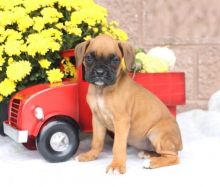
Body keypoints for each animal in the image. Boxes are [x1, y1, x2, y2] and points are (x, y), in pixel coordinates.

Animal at [74, 34, 182, 174]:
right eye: (89, 57)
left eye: (115, 60)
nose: (100, 72)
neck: (102, 90)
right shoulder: (97, 119)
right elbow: (96, 141)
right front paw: (90, 155)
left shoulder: (121, 121)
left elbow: (118, 146)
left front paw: (116, 165)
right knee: (162, 153)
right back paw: (147, 154)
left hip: (157, 133)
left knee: (173, 157)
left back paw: (152, 162)